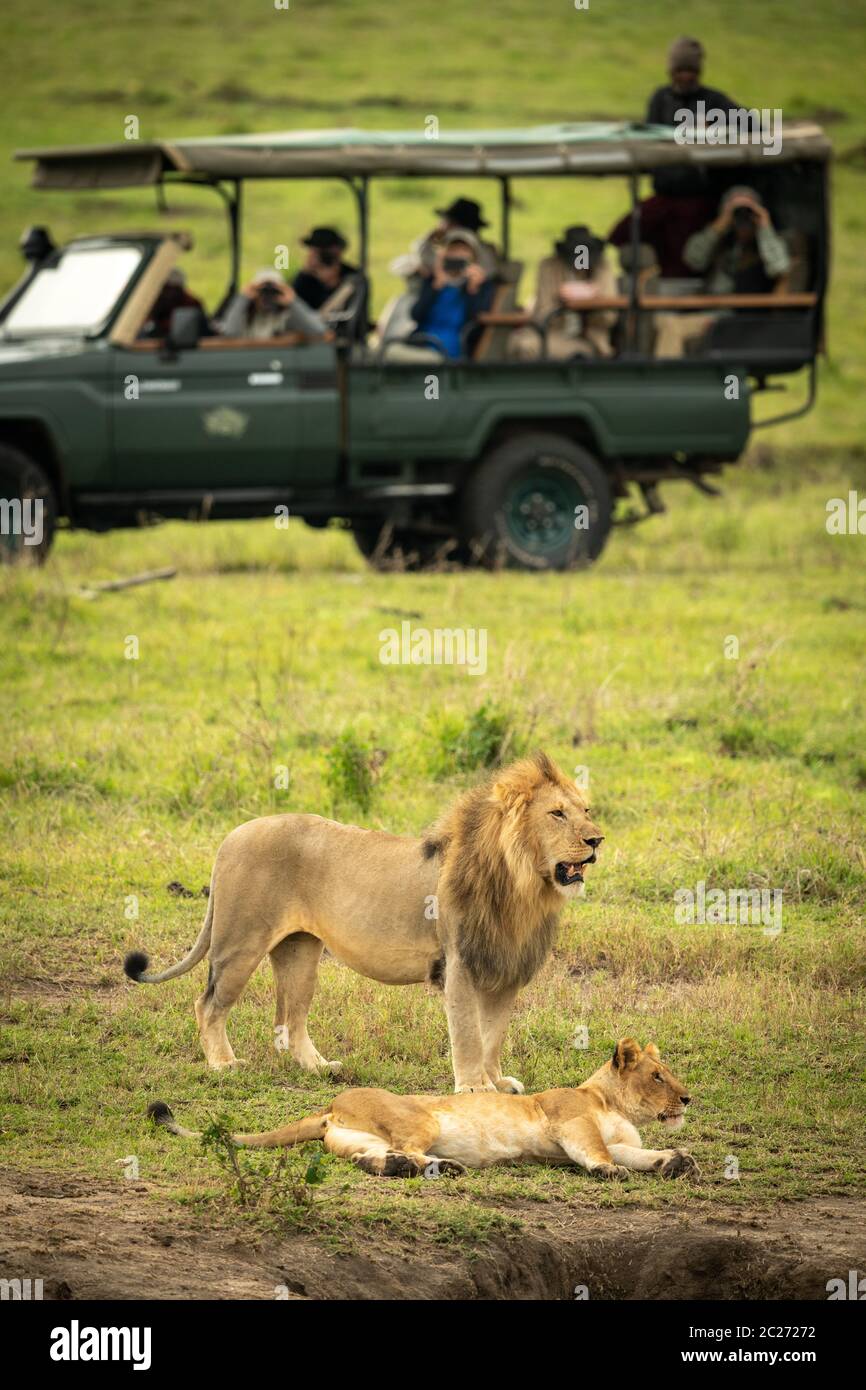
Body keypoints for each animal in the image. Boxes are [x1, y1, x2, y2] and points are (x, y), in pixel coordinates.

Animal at [125, 756, 603, 1089]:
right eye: (557, 814)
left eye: (586, 810)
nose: (597, 839)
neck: (525, 886)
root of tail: (231, 835)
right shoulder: (460, 964)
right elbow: (469, 1035)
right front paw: (474, 1088)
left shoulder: (506, 971)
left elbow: (493, 1035)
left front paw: (496, 1081)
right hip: (239, 943)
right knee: (208, 1004)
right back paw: (223, 1064)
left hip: (300, 951)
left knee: (290, 1020)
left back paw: (318, 1068)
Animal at [148, 1039, 700, 1178]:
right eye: (657, 1075)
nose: (687, 1098)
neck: (611, 1102)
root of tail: (331, 1103)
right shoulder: (569, 1121)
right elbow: (598, 1155)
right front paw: (611, 1172)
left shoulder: (617, 1138)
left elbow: (641, 1156)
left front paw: (677, 1161)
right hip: (424, 1118)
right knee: (409, 1150)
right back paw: (443, 1167)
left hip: (356, 1138)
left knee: (370, 1159)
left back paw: (408, 1167)